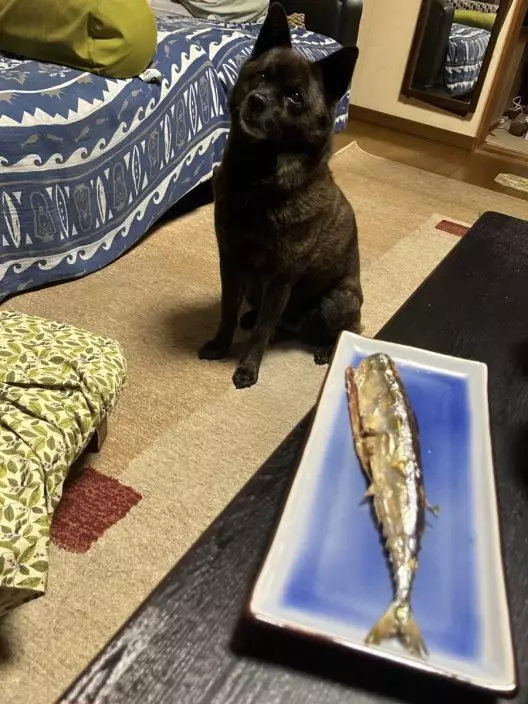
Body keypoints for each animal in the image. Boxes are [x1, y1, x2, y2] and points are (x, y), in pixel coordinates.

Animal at [199, 2, 363, 389]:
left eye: (296, 96)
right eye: (260, 76)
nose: (256, 102)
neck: (257, 181)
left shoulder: (281, 278)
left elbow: (262, 332)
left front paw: (247, 368)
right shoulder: (230, 261)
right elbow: (228, 310)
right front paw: (220, 345)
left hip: (341, 300)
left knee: (342, 330)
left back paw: (326, 350)